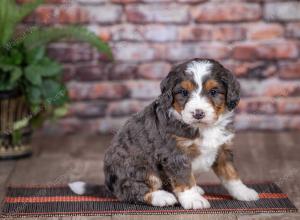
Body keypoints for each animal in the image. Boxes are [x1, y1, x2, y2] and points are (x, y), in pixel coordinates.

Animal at [69, 58, 258, 210]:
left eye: (213, 91)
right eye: (183, 92)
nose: (198, 113)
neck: (203, 127)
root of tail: (109, 186)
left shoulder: (222, 149)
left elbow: (231, 174)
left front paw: (244, 192)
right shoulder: (175, 154)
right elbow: (184, 178)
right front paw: (193, 199)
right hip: (138, 168)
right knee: (132, 190)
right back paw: (162, 197)